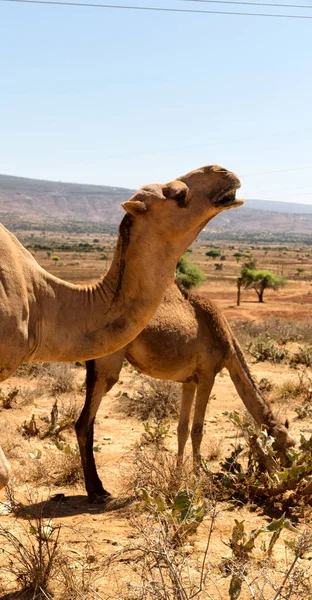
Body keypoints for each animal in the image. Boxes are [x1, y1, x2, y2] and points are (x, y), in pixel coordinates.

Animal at [77, 286, 294, 502]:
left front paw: (177, 477)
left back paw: (98, 488)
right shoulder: (207, 376)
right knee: (83, 423)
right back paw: (96, 491)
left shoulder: (189, 382)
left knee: (88, 422)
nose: (287, 469)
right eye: (287, 444)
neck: (227, 342)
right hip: (108, 365)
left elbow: (182, 429)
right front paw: (199, 479)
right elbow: (197, 430)